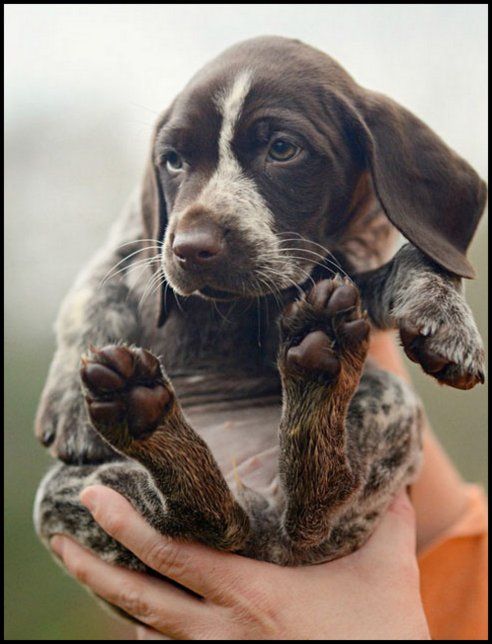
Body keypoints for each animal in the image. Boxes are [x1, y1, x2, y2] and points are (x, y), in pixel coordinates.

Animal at [32, 36, 486, 620]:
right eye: (173, 161)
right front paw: (68, 398)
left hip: (389, 406)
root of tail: (264, 535)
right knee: (211, 523)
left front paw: (449, 321)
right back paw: (146, 415)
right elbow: (90, 294)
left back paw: (314, 371)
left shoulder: (343, 278)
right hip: (70, 493)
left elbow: (418, 259)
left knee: (305, 507)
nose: (191, 249)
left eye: (283, 149)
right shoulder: (136, 240)